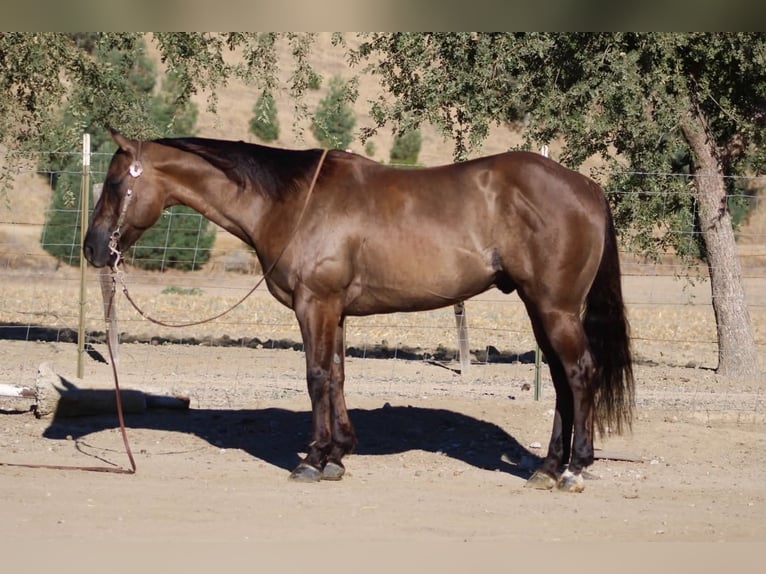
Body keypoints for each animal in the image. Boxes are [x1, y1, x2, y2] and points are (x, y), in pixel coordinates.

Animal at [84, 130, 635, 492]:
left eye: (113, 184)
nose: (92, 248)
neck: (290, 202)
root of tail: (587, 187)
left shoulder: (314, 304)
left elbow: (316, 376)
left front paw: (312, 459)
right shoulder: (335, 310)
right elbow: (338, 375)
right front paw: (338, 454)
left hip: (555, 308)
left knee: (580, 374)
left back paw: (573, 469)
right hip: (540, 307)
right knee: (562, 381)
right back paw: (547, 467)